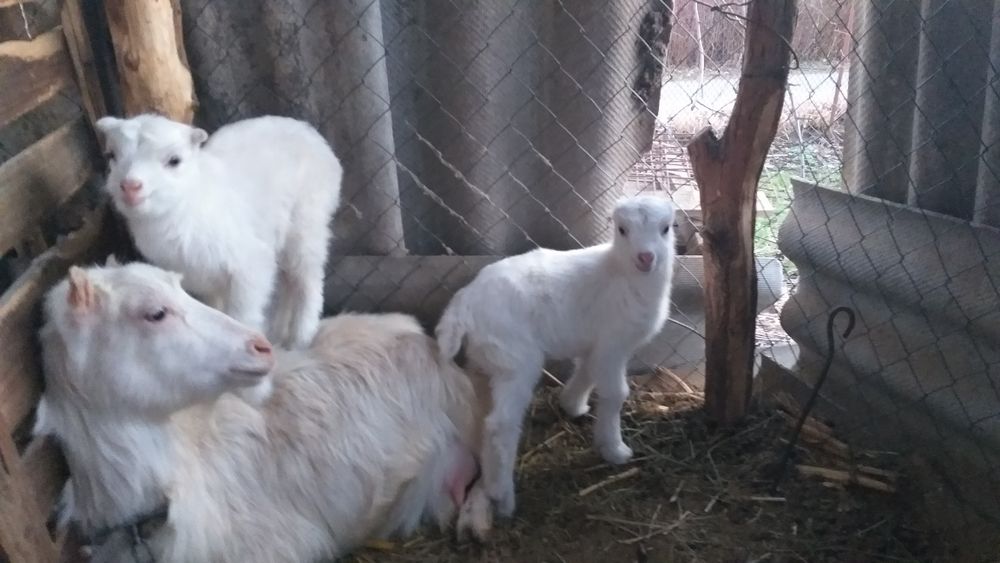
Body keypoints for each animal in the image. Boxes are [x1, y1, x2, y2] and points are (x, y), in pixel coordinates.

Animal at [96, 114, 342, 350]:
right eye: (111, 155)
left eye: (174, 161)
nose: (130, 187)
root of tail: (307, 130)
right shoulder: (204, 280)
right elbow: (215, 312)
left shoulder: (250, 267)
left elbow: (242, 316)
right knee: (287, 282)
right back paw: (280, 334)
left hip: (307, 224)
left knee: (308, 280)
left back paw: (301, 339)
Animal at [435, 194, 677, 517]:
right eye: (622, 230)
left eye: (666, 228)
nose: (646, 258)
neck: (619, 272)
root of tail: (463, 306)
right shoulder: (612, 345)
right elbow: (615, 393)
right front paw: (615, 450)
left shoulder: (595, 345)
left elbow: (585, 371)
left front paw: (572, 405)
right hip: (516, 360)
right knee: (500, 425)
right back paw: (503, 498)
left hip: (486, 359)